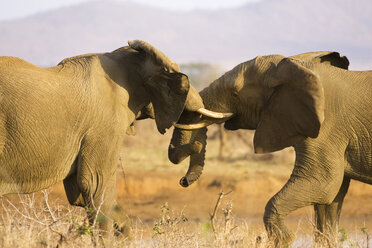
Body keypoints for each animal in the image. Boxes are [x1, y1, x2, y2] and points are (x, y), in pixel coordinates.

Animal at [0, 39, 221, 235]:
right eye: (177, 75)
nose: (182, 181)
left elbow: (80, 194)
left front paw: (124, 234)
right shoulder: (105, 125)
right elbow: (95, 184)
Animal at [167, 51, 370, 247]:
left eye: (235, 93)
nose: (183, 181)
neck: (298, 68)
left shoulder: (327, 129)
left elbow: (323, 184)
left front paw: (284, 240)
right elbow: (330, 200)